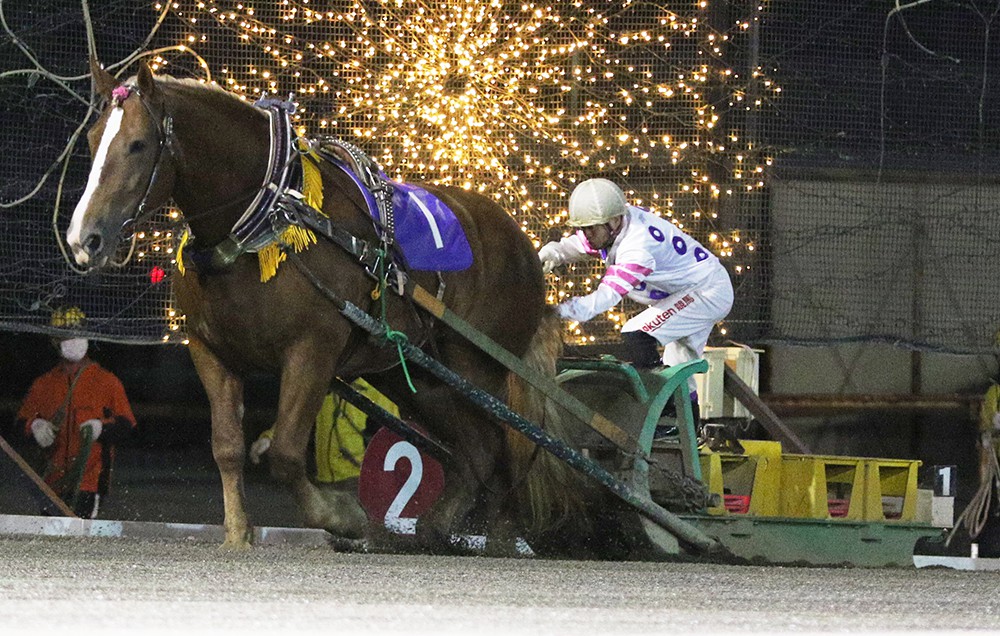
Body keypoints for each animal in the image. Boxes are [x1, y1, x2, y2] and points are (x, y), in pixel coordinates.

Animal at [65, 58, 603, 554]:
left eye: (138, 144)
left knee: (507, 444)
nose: (83, 238)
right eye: (90, 140)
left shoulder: (313, 350)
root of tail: (522, 243)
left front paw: (341, 517)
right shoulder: (209, 351)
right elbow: (226, 448)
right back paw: (438, 528)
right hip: (417, 375)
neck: (265, 221)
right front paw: (238, 533)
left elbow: (284, 452)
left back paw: (503, 537)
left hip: (479, 367)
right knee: (475, 451)